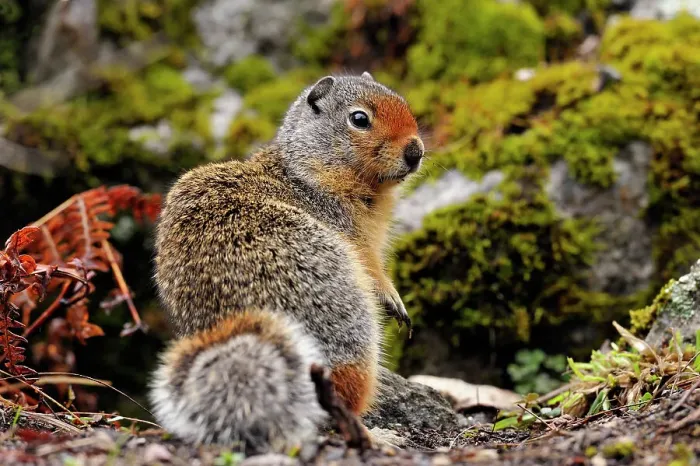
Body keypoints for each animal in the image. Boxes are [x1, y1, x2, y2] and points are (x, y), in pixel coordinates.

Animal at [148, 72, 424, 453]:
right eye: (359, 119)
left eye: (403, 103)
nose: (416, 152)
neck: (309, 172)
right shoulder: (353, 234)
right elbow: (373, 269)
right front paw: (394, 299)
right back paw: (379, 435)